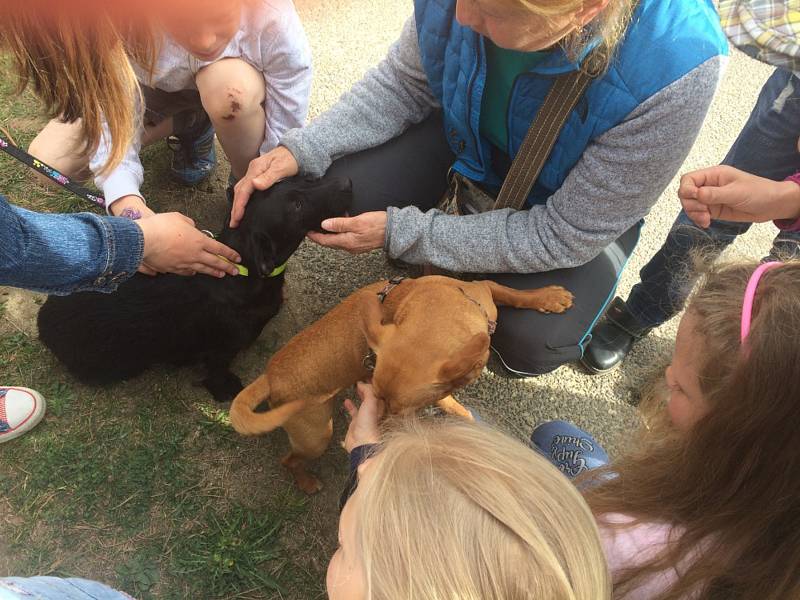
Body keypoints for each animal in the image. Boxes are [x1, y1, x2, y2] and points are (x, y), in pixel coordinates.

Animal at [36, 178, 350, 404]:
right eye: (297, 206)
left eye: (305, 179)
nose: (346, 182)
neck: (241, 269)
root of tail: (43, 321)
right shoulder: (221, 350)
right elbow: (217, 371)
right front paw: (227, 390)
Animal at [228, 276, 572, 492]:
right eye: (378, 398)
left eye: (399, 410)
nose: (376, 436)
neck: (442, 310)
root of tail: (271, 375)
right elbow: (447, 399)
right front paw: (461, 413)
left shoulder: (485, 288)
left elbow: (511, 291)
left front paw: (548, 297)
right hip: (315, 436)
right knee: (289, 460)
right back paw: (306, 482)